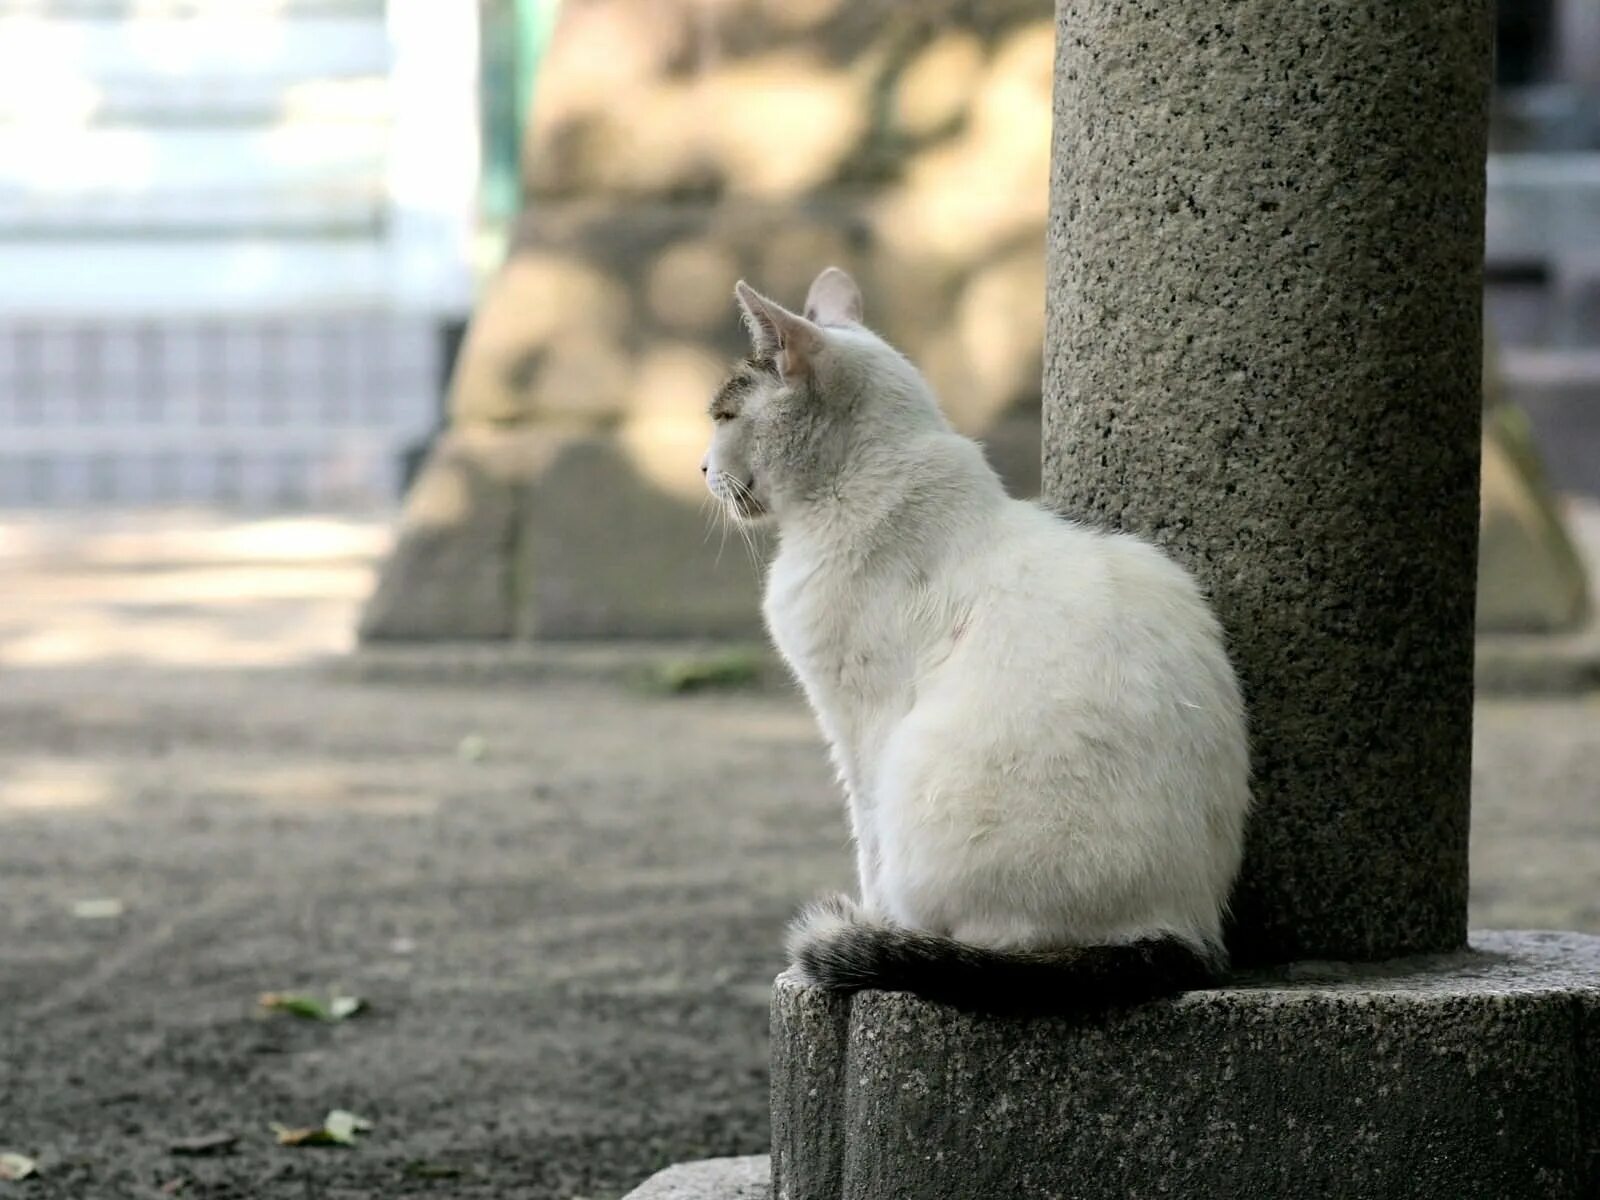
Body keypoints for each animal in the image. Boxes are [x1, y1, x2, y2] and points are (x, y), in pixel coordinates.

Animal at [700, 265, 1248, 1017]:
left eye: (724, 418)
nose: (700, 470)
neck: (851, 491)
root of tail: (1178, 933)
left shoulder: (859, 727)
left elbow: (867, 842)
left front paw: (872, 920)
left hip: (922, 777)